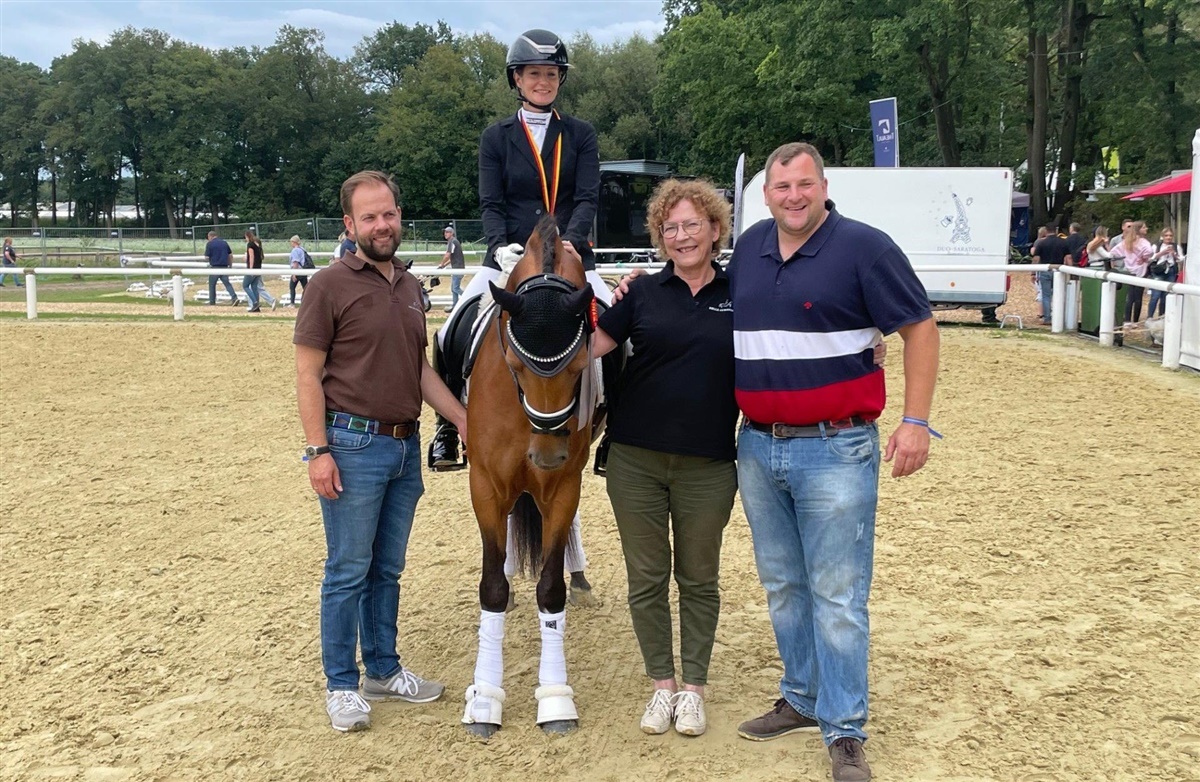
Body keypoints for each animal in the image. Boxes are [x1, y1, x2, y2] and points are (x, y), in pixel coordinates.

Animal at [461, 215, 602, 739]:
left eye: (581, 365)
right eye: (514, 366)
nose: (545, 456)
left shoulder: (563, 487)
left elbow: (550, 588)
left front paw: (556, 698)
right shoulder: (485, 485)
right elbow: (492, 589)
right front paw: (485, 700)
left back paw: (579, 575)